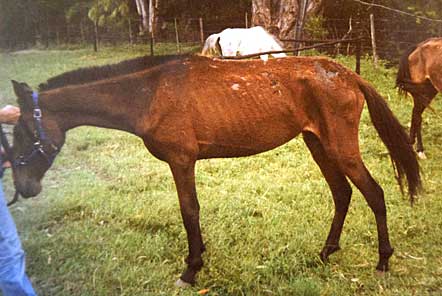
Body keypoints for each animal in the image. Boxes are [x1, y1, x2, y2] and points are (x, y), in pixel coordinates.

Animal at [8, 53, 420, 286]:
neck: (150, 93)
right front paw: (200, 255)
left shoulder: (181, 161)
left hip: (340, 148)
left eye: (25, 132)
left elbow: (189, 210)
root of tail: (349, 75)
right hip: (318, 144)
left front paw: (191, 269)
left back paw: (383, 261)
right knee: (342, 193)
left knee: (374, 193)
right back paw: (325, 252)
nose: (24, 187)